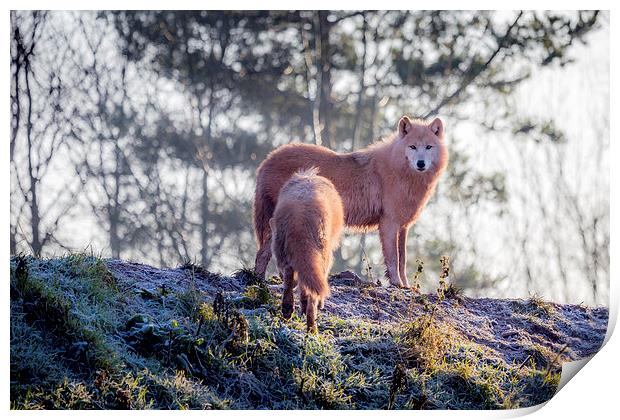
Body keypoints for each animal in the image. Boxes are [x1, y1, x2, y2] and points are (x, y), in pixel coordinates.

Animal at [254, 116, 448, 290]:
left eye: (428, 147)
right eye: (413, 147)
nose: (421, 163)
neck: (400, 170)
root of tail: (267, 160)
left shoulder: (403, 227)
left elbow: (403, 260)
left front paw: (406, 286)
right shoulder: (389, 223)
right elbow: (393, 259)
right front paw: (396, 283)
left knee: (263, 252)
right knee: (266, 248)